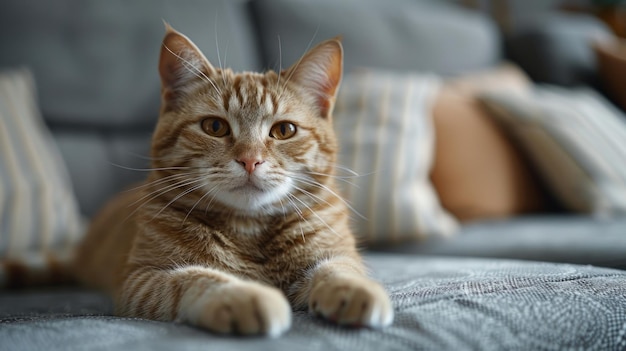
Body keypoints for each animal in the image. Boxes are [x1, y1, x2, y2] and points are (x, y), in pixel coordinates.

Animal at [73, 24, 392, 338]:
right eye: (215, 126)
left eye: (284, 130)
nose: (250, 160)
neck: (249, 227)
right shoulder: (141, 278)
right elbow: (196, 278)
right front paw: (244, 295)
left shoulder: (336, 252)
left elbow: (338, 268)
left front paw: (356, 289)